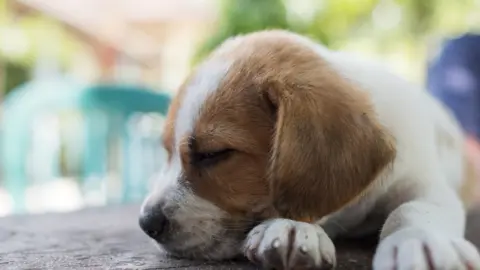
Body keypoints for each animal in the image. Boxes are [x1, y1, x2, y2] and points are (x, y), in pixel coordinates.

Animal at [138, 30, 480, 268]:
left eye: (214, 154)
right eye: (166, 151)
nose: (146, 223)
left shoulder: (426, 185)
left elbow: (411, 210)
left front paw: (421, 241)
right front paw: (294, 227)